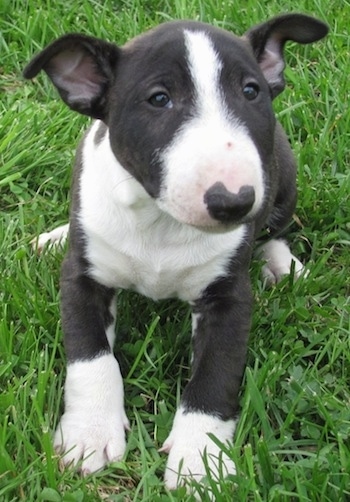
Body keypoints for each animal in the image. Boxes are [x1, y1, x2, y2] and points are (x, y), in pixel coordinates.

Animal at [24, 14, 328, 490]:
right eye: (159, 99)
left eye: (251, 91)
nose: (235, 202)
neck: (159, 221)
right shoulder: (81, 281)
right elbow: (91, 358)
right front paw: (90, 434)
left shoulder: (228, 298)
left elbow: (215, 373)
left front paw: (201, 460)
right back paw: (55, 236)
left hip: (285, 174)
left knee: (275, 229)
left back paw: (282, 264)